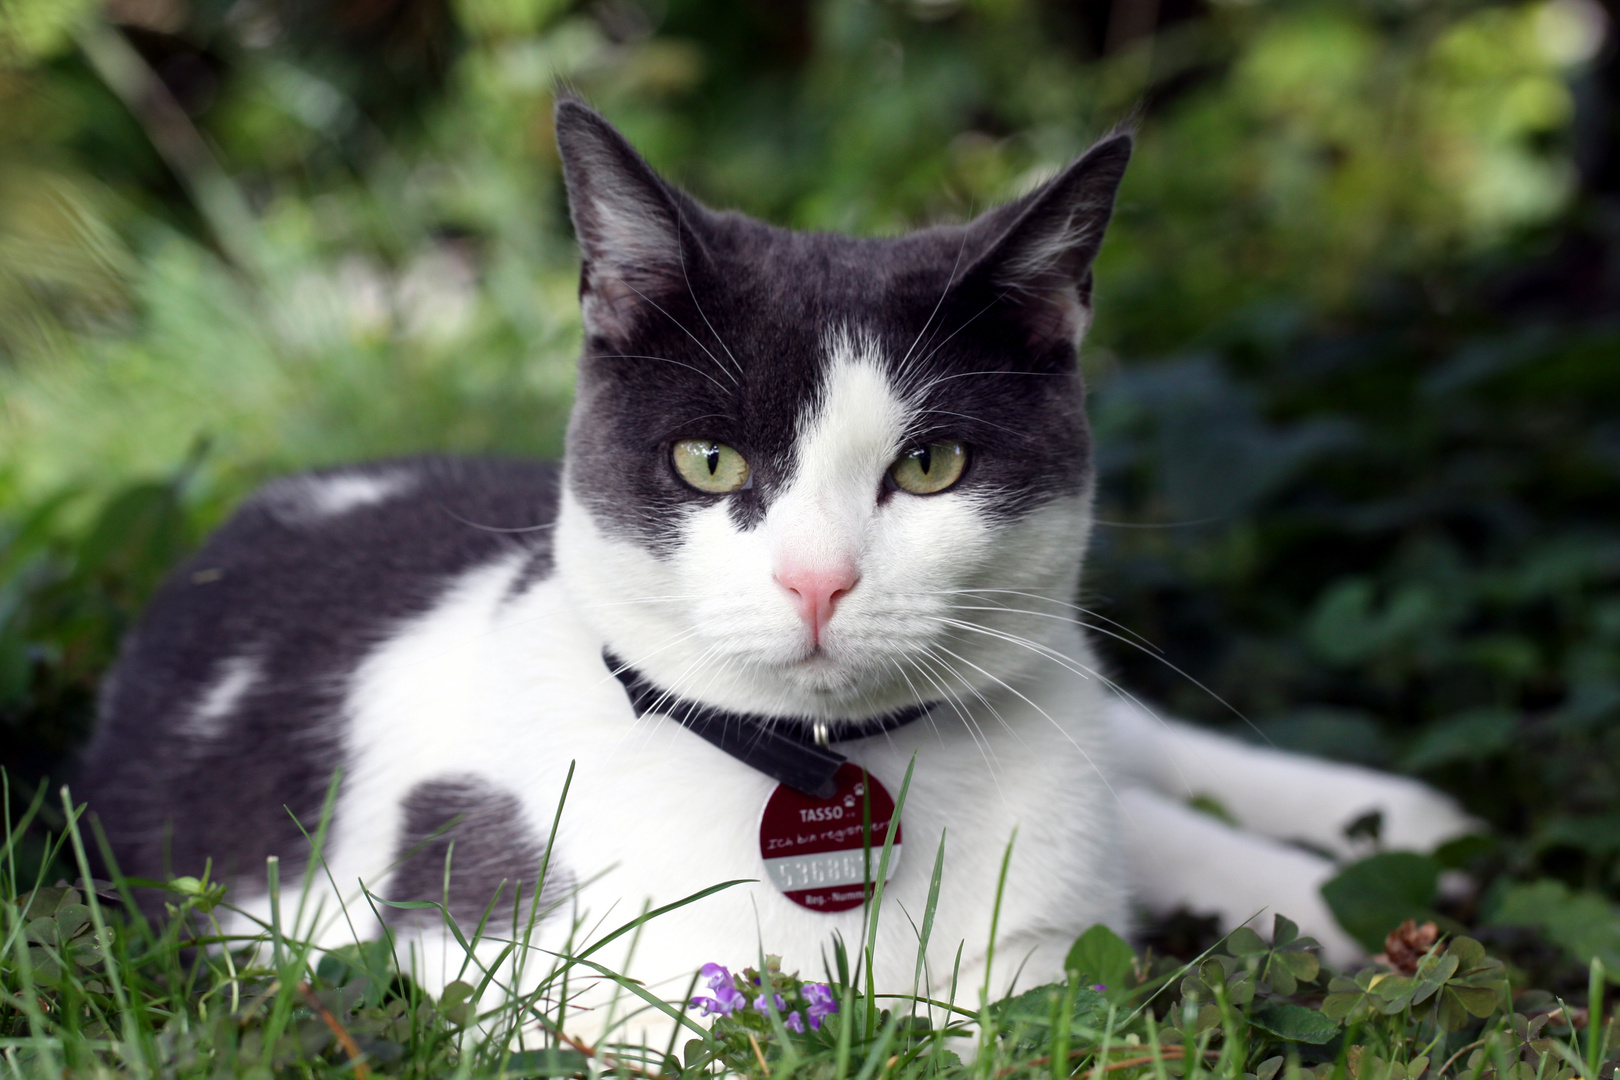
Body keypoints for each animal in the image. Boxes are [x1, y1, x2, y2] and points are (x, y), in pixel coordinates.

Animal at [76, 99, 1477, 1049]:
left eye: (931, 465)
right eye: (709, 461)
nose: (817, 582)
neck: (827, 765)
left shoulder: (1039, 951)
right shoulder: (506, 973)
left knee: (1150, 757)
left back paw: (1388, 837)